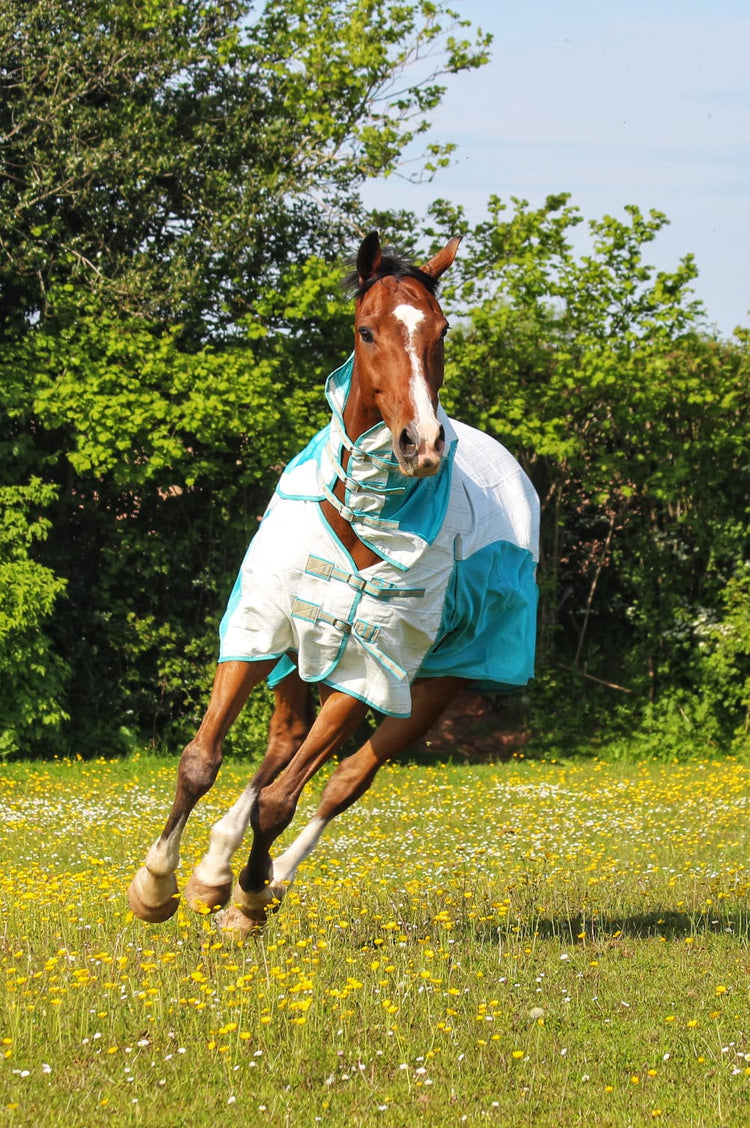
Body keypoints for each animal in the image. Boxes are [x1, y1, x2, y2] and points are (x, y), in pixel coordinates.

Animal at [127, 231, 540, 934]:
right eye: (367, 331)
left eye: (442, 329)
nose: (422, 444)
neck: (358, 515)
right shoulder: (261, 629)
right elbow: (201, 761)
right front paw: (156, 885)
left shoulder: (369, 668)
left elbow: (285, 799)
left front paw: (249, 898)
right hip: (301, 655)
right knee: (284, 743)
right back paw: (212, 872)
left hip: (431, 689)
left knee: (344, 779)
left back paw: (261, 884)